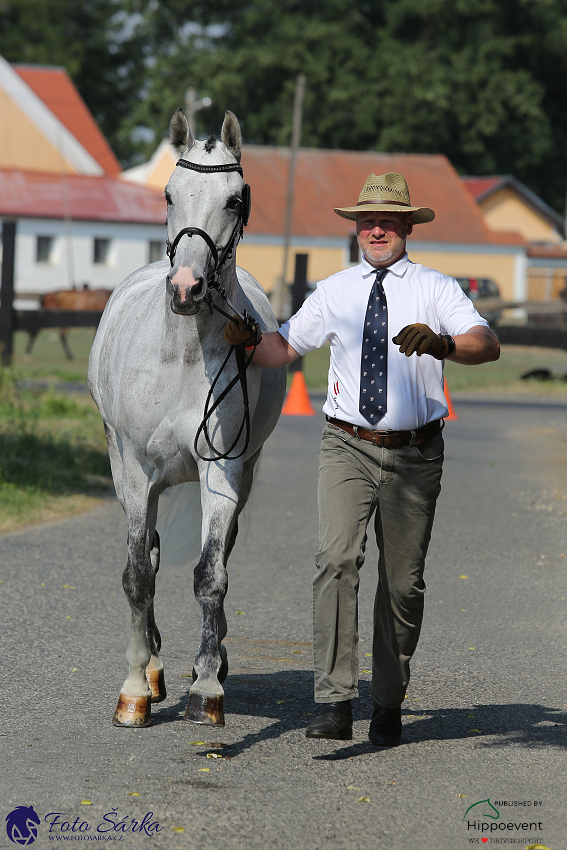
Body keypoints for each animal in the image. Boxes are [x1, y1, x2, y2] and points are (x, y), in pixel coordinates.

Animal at [89, 109, 288, 724]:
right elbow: (137, 575)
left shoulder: (222, 469)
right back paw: (152, 670)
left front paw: (207, 684)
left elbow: (210, 574)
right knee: (149, 556)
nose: (186, 288)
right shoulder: (135, 474)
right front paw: (134, 689)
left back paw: (214, 659)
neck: (180, 355)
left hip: (245, 471)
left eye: (235, 199)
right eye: (170, 193)